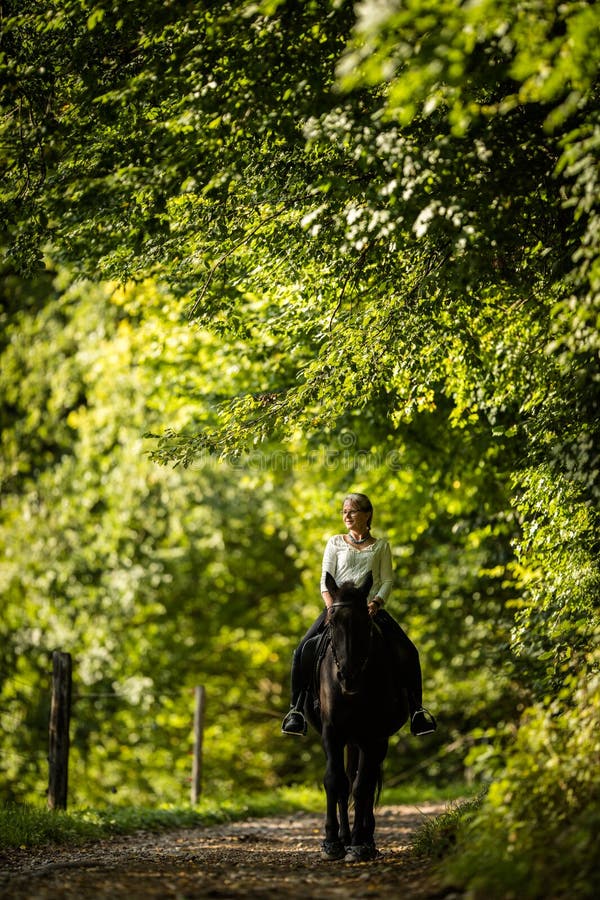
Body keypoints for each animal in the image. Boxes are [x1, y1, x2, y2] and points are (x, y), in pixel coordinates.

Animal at [304, 572, 408, 860]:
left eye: (365, 622)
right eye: (332, 621)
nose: (347, 677)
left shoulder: (374, 736)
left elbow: (363, 786)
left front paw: (360, 844)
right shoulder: (332, 733)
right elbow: (335, 781)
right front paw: (332, 842)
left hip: (370, 741)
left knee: (366, 782)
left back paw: (365, 838)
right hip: (350, 739)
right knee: (346, 781)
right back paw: (344, 837)